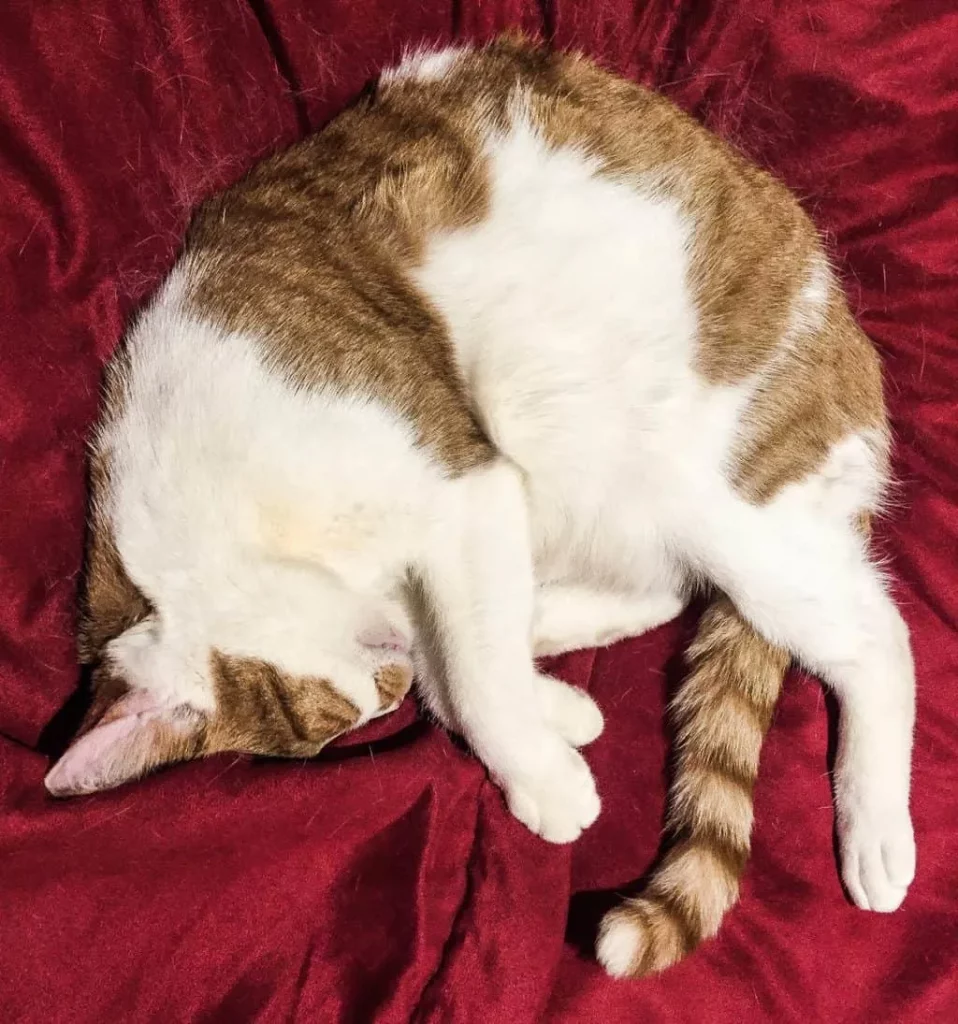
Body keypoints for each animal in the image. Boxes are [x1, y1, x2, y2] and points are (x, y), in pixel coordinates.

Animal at [42, 36, 912, 978]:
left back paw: (874, 830)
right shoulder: (450, 549)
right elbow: (461, 663)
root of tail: (848, 345)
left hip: (721, 498)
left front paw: (538, 767)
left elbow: (475, 678)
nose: (382, 697)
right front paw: (551, 716)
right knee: (666, 590)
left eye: (338, 717)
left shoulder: (462, 490)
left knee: (878, 640)